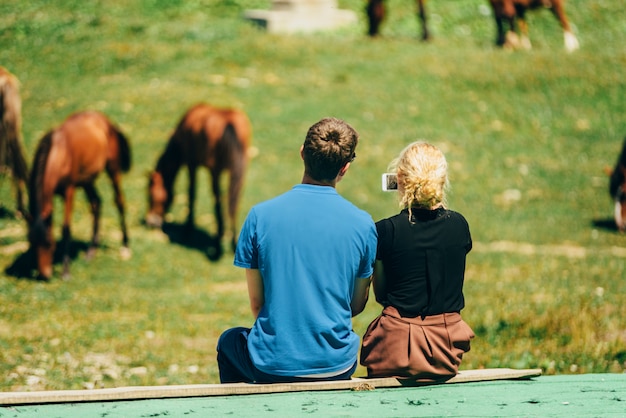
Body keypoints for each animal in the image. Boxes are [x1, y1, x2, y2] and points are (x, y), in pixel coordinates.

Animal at [26, 111, 132, 280]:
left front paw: (65, 271)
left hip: (112, 169)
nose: (45, 275)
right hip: (87, 180)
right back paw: (91, 251)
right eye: (31, 242)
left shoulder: (69, 191)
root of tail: (105, 120)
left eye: (49, 243)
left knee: (119, 202)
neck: (58, 153)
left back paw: (126, 245)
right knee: (96, 203)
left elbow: (66, 229)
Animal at [146, 104, 251, 255]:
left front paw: (187, 231)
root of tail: (229, 124)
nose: (151, 222)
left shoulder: (191, 164)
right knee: (233, 203)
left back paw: (217, 243)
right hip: (240, 172)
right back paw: (233, 243)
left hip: (215, 172)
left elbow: (191, 193)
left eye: (150, 195)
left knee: (218, 202)